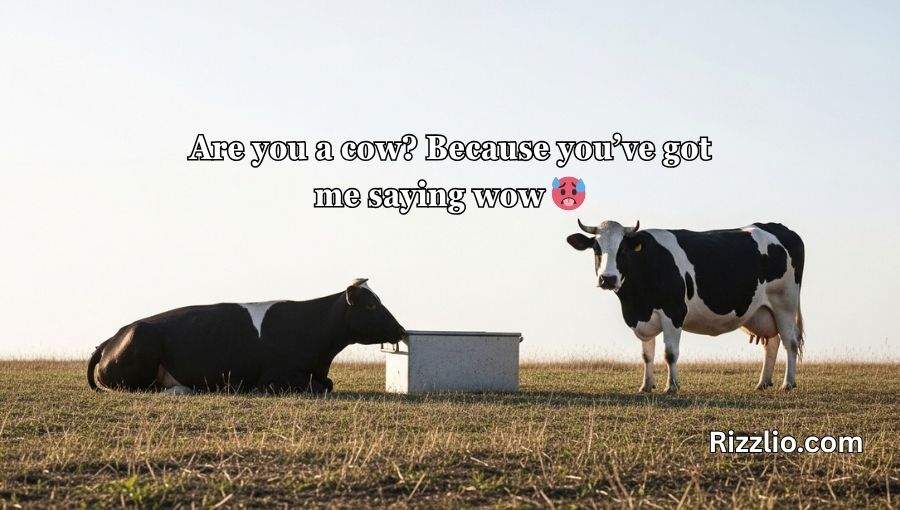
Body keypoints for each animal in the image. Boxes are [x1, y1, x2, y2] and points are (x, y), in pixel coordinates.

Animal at [87, 279, 406, 394]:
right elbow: (317, 387)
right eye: (371, 305)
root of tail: (109, 339)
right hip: (142, 341)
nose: (401, 330)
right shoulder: (276, 377)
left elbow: (327, 384)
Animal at [566, 220, 804, 393]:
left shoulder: (674, 313)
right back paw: (763, 382)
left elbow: (670, 353)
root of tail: (777, 227)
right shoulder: (643, 318)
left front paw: (671, 387)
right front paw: (646, 386)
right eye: (596, 249)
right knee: (772, 343)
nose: (608, 279)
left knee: (790, 342)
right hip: (762, 311)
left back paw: (788, 383)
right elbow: (647, 355)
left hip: (785, 304)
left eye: (623, 250)